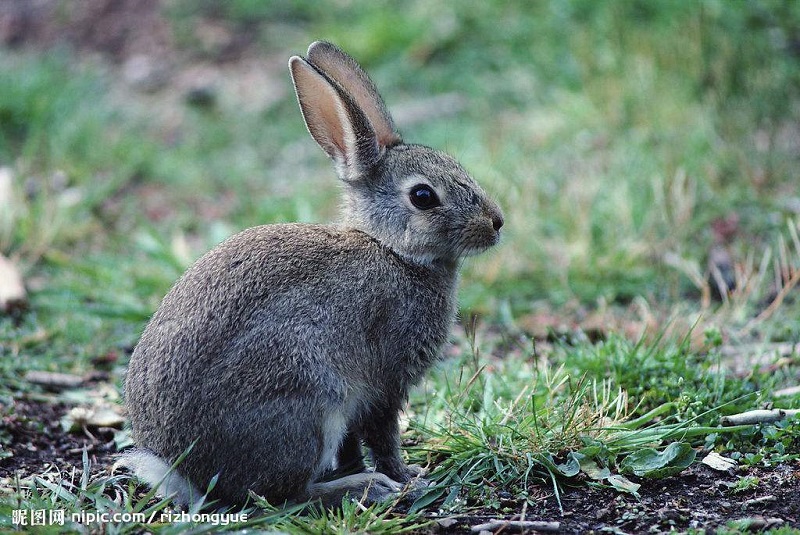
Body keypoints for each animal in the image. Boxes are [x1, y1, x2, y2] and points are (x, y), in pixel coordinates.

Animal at [121, 40, 504, 508]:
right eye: (423, 196)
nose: (496, 223)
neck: (392, 251)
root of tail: (184, 472)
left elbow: (354, 445)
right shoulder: (384, 383)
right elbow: (383, 437)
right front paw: (409, 477)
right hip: (309, 399)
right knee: (280, 495)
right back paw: (364, 487)